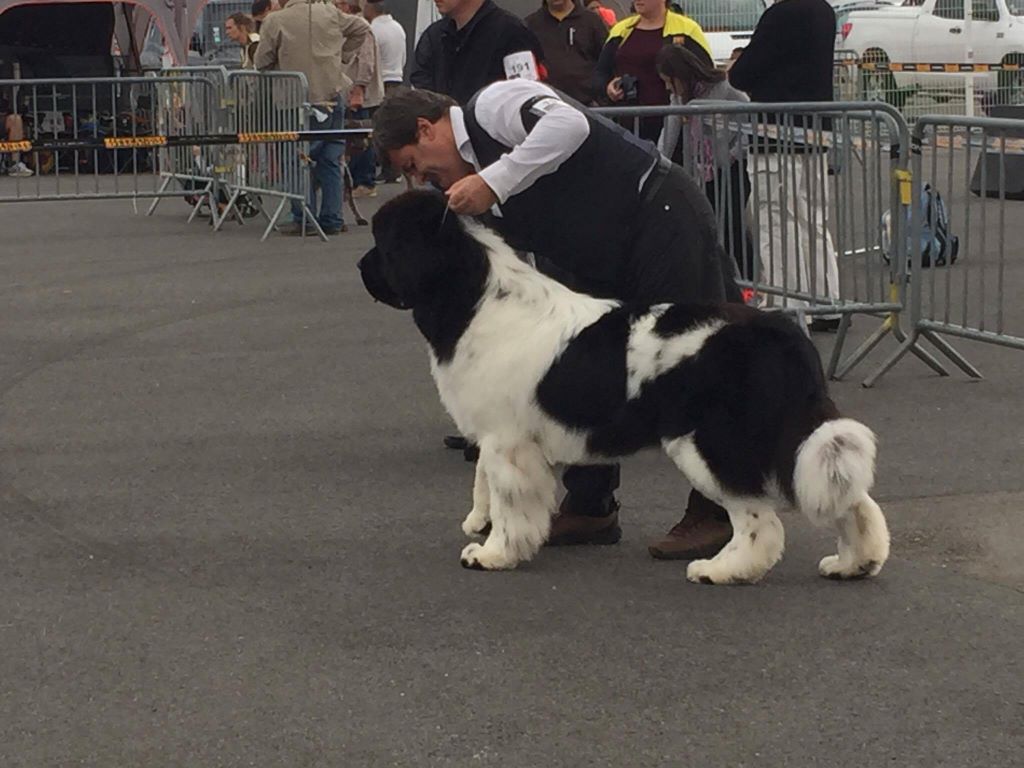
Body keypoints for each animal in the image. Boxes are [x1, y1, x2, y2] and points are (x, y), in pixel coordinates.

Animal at [362, 193, 888, 589]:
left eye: (382, 243)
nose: (362, 267)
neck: (472, 298)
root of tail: (780, 332)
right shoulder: (500, 436)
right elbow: (488, 483)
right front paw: (485, 524)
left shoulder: (506, 441)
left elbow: (509, 498)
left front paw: (493, 554)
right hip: (785, 435)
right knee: (846, 493)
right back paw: (854, 563)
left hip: (713, 443)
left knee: (761, 521)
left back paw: (722, 570)